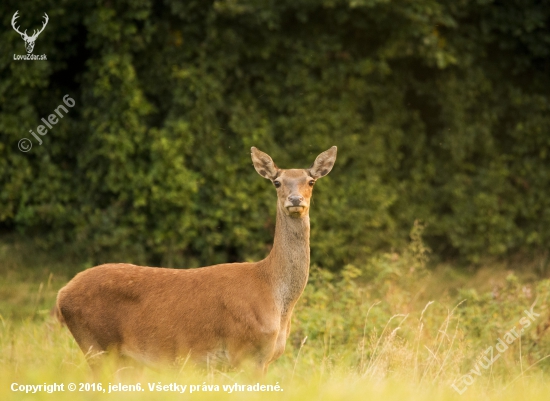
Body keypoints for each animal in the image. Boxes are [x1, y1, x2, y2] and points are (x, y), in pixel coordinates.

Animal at [58, 145, 338, 374]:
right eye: (277, 182)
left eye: (311, 181)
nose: (295, 200)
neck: (274, 295)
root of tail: (61, 295)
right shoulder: (244, 351)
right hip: (98, 344)